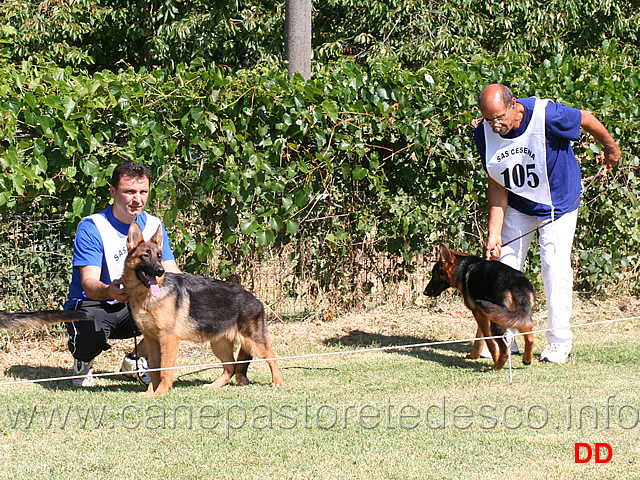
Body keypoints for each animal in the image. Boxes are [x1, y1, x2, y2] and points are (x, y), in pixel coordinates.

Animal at [124, 222, 284, 398]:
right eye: (145, 256)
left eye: (159, 256)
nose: (160, 271)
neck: (145, 295)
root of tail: (255, 300)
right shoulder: (151, 340)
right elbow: (154, 368)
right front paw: (150, 392)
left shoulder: (168, 339)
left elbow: (165, 369)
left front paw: (160, 392)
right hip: (220, 345)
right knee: (231, 368)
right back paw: (214, 385)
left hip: (252, 342)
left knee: (272, 356)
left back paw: (277, 382)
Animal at [424, 244, 536, 372]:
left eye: (435, 275)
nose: (425, 292)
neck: (463, 268)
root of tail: (517, 282)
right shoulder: (482, 314)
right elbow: (479, 337)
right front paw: (474, 355)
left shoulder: (479, 313)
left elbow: (488, 341)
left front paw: (493, 358)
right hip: (515, 316)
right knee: (530, 337)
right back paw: (527, 359)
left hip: (498, 322)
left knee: (505, 350)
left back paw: (496, 367)